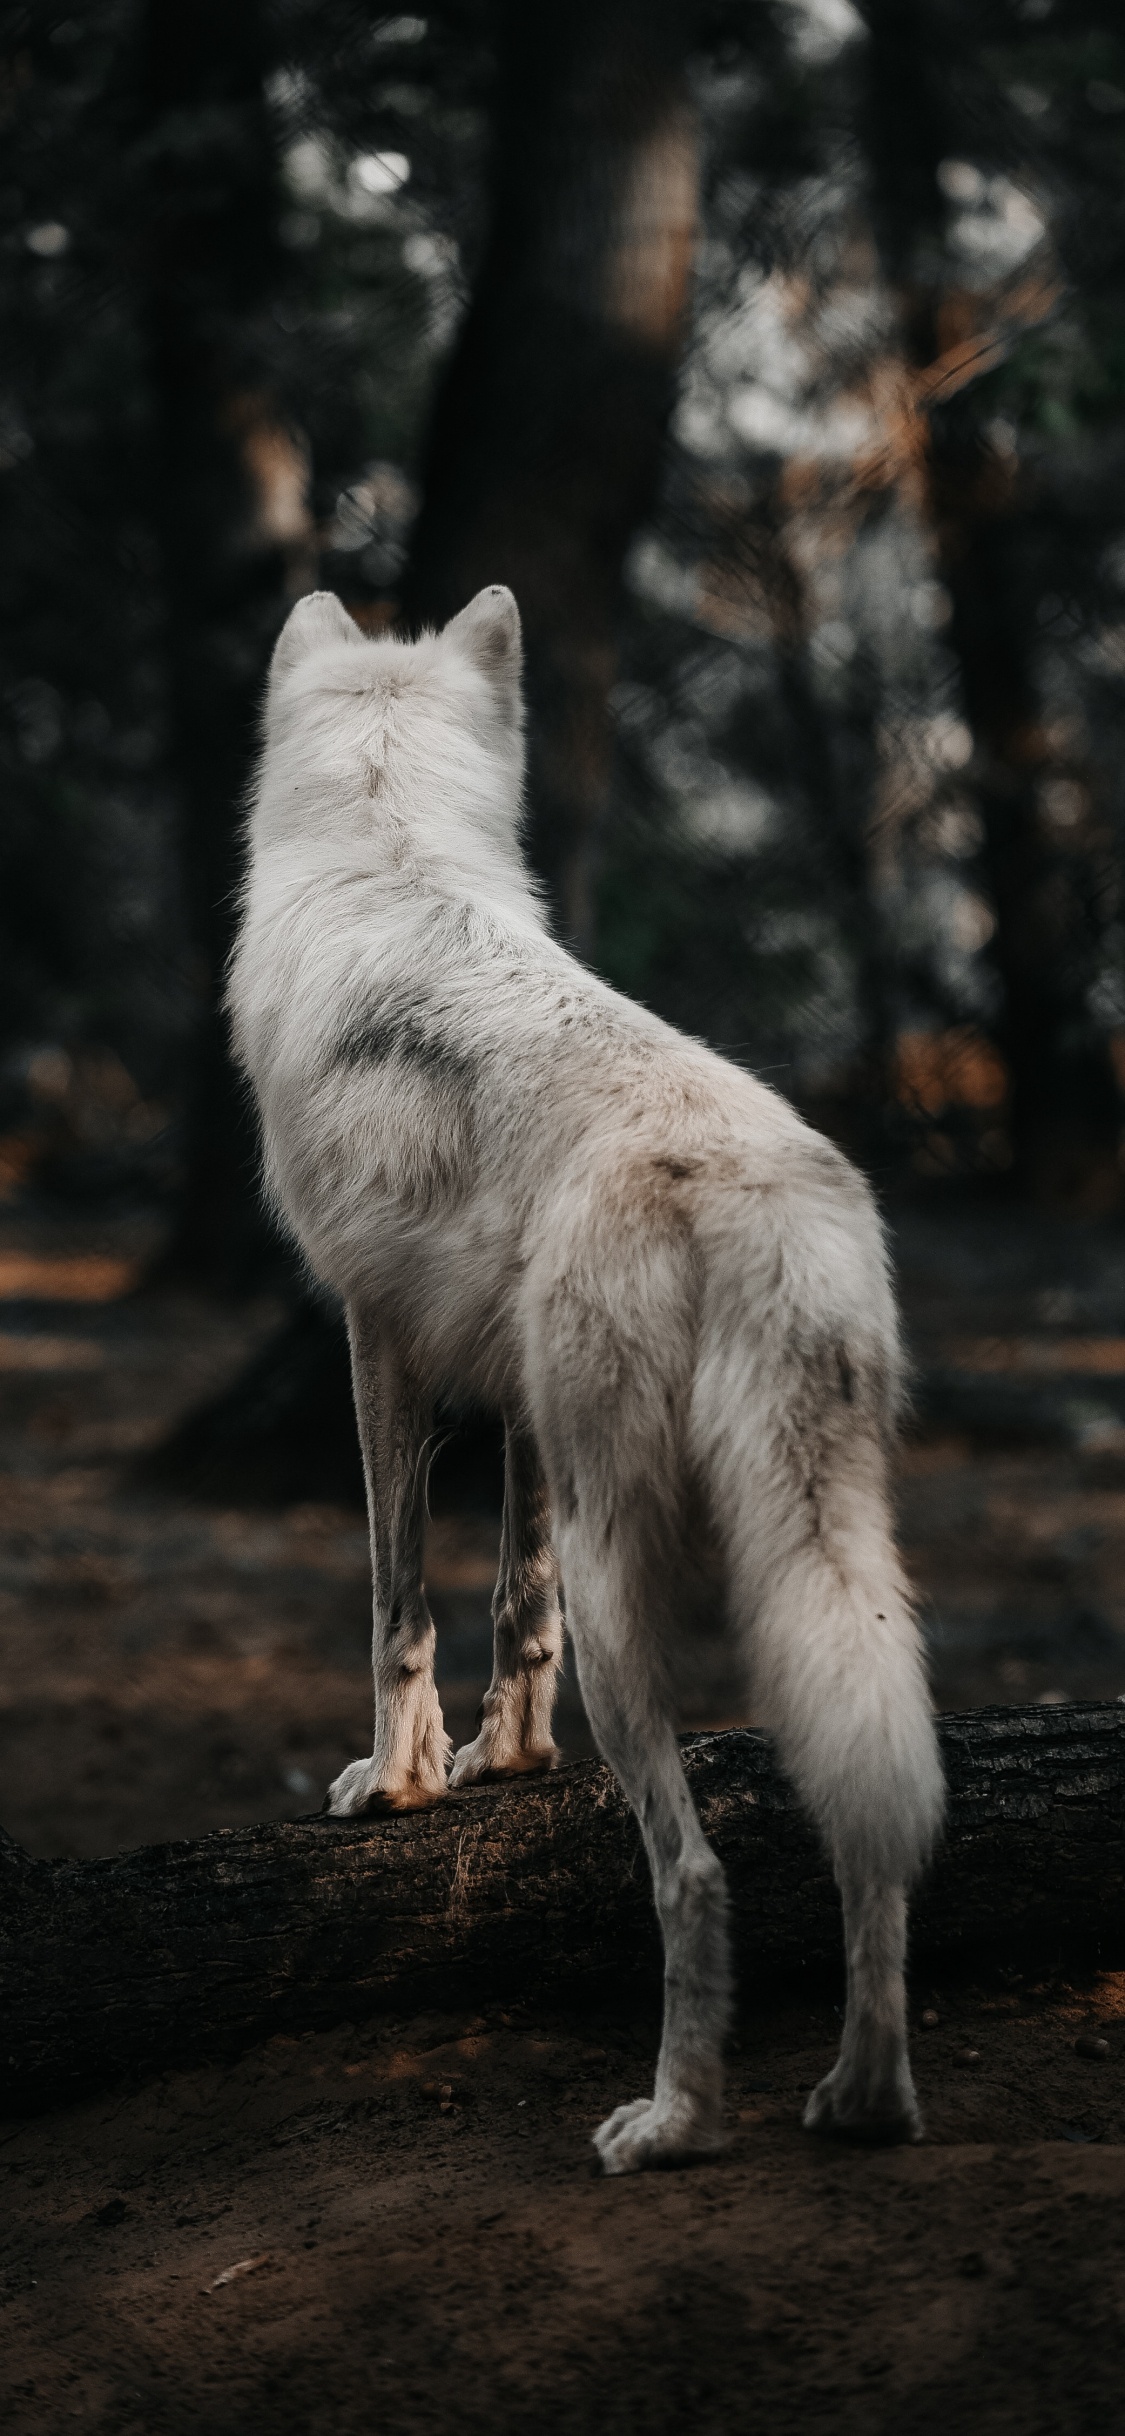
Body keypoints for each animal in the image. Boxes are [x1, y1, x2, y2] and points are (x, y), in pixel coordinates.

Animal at [229, 582, 944, 2174]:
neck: (388, 851)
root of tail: (746, 1183)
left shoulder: (378, 1340)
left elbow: (399, 1607)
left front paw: (400, 1784)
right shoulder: (521, 1406)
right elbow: (513, 1599)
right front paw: (504, 1763)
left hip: (645, 1608)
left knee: (694, 1875)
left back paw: (675, 2122)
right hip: (838, 1567)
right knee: (872, 1815)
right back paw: (864, 2099)